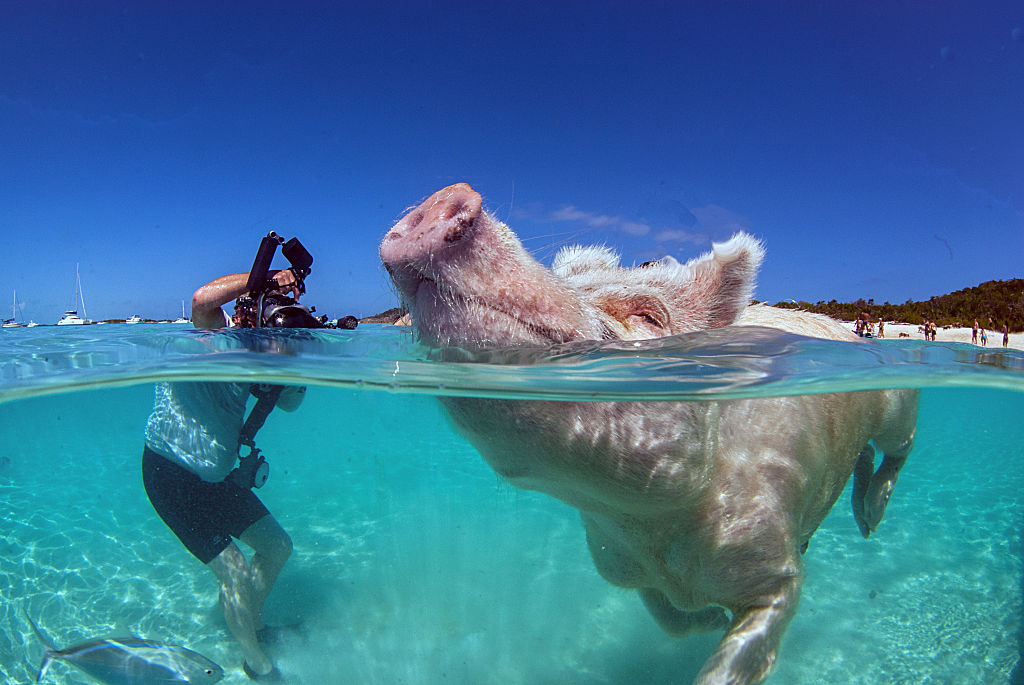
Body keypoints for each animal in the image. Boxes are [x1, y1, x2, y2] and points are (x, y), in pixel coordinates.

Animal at [379, 183, 918, 685]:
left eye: (647, 315)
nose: (448, 194)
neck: (655, 534)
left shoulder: (777, 573)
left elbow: (735, 654)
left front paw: (719, 623)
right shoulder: (617, 565)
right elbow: (669, 620)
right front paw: (710, 616)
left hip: (899, 403)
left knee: (897, 449)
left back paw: (871, 520)